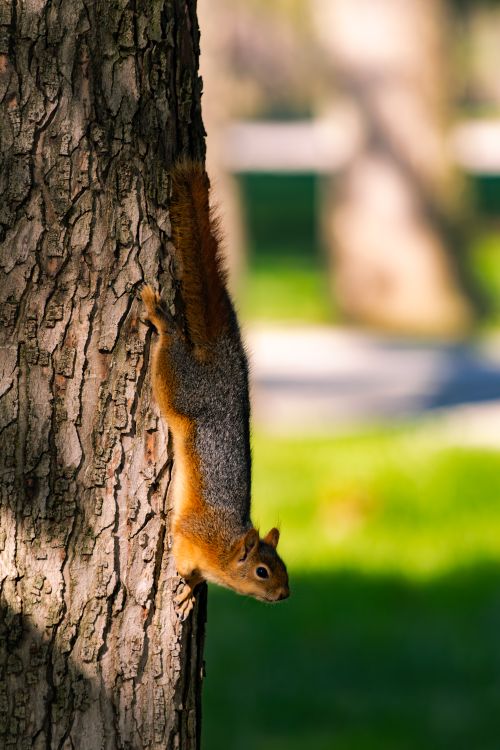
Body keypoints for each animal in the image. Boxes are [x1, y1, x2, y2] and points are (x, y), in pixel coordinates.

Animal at [141, 161, 289, 619]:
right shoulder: (192, 534)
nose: (285, 595)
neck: (224, 549)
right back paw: (162, 318)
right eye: (262, 571)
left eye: (284, 567)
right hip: (180, 385)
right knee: (171, 346)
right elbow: (182, 557)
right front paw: (186, 585)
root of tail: (228, 362)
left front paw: (189, 592)